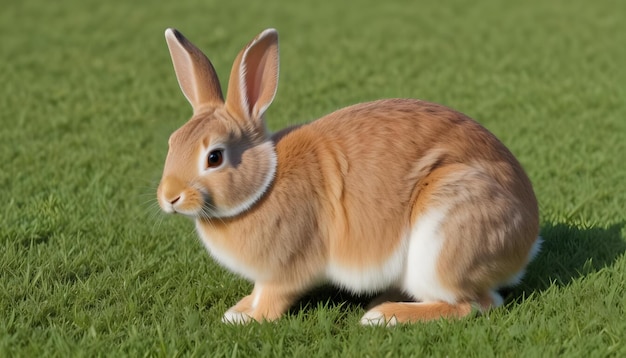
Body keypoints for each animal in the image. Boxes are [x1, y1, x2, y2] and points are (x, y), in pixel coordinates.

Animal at [157, 27, 540, 324]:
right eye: (172, 142)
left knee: (475, 305)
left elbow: (272, 300)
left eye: (215, 157)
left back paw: (383, 316)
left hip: (443, 239)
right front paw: (237, 310)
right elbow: (256, 291)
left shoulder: (284, 274)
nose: (169, 197)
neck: (264, 186)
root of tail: (526, 241)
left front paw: (250, 318)